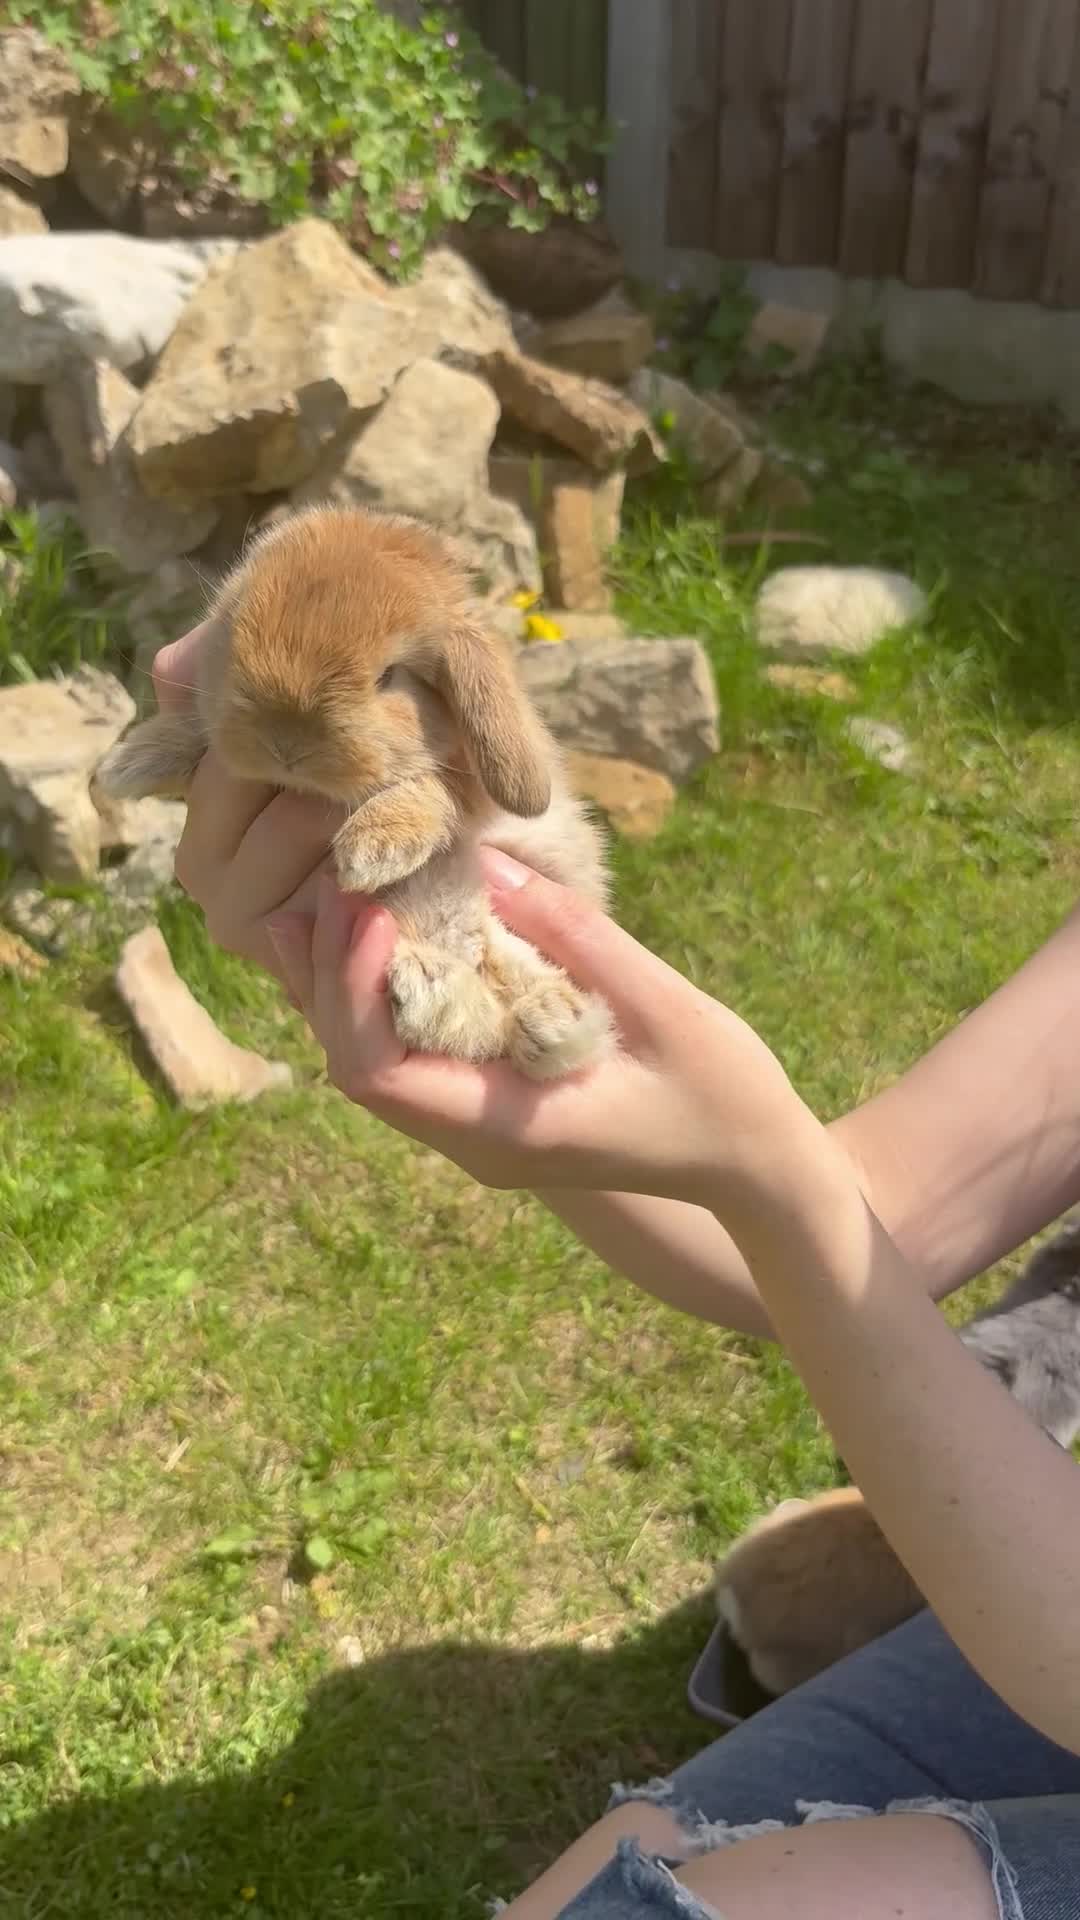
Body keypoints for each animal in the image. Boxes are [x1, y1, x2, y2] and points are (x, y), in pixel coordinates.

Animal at [92, 504, 615, 1081]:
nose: (286, 742)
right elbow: (196, 735)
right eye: (234, 640)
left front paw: (372, 851)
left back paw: (538, 1020)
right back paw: (438, 994)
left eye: (389, 677)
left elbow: (432, 790)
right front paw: (128, 765)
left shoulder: (470, 795)